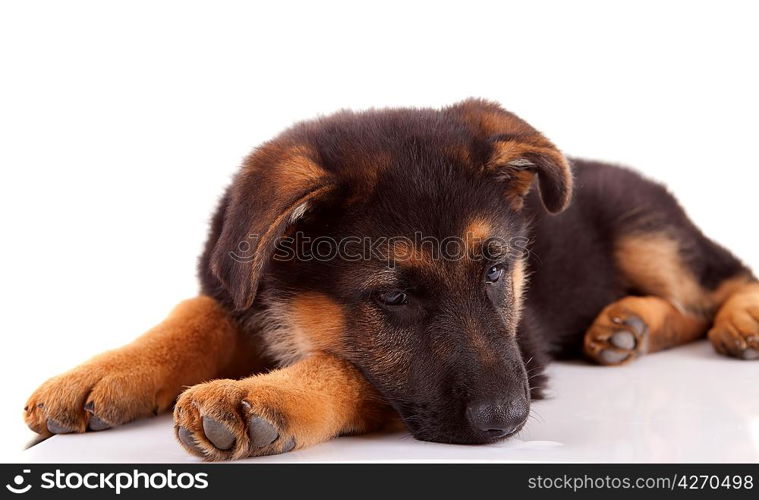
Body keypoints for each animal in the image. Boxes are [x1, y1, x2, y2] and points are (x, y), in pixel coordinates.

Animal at [23, 98, 759, 460]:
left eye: (497, 269)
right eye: (394, 296)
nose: (509, 422)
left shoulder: (523, 349)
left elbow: (350, 368)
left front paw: (261, 396)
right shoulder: (232, 287)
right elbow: (191, 316)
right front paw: (99, 373)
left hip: (648, 233)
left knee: (720, 281)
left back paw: (733, 320)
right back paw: (624, 326)